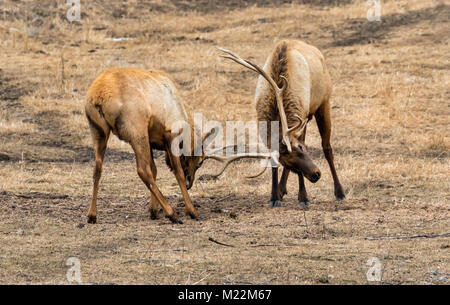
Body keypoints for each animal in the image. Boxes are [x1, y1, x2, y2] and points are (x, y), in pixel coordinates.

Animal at [218, 39, 344, 207]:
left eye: (301, 148)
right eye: (288, 162)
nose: (316, 174)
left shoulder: (303, 116)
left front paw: (303, 197)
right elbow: (274, 165)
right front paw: (274, 196)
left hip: (324, 102)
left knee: (327, 148)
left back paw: (339, 192)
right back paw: (282, 189)